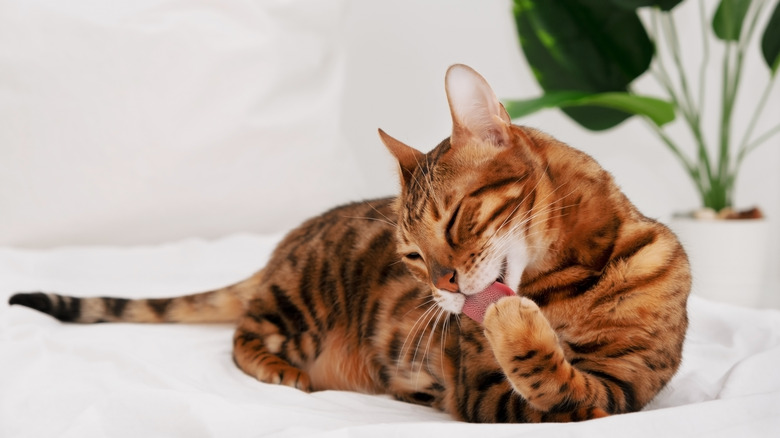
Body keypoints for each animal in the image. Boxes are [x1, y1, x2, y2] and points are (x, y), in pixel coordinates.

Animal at [6, 63, 688, 422]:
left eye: (455, 221)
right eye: (412, 255)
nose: (443, 286)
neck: (571, 277)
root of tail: (280, 250)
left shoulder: (624, 387)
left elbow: (566, 383)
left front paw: (516, 321)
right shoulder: (485, 391)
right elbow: (543, 372)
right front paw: (514, 322)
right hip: (298, 307)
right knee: (241, 335)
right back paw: (281, 371)